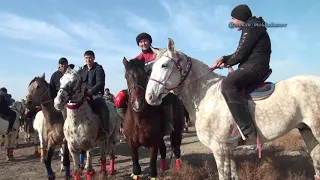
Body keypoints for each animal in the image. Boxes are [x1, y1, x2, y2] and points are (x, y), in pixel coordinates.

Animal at [146, 37, 320, 179]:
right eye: (151, 68)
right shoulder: (229, 151)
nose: (149, 97)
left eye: (164, 65)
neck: (207, 96)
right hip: (307, 131)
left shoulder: (220, 150)